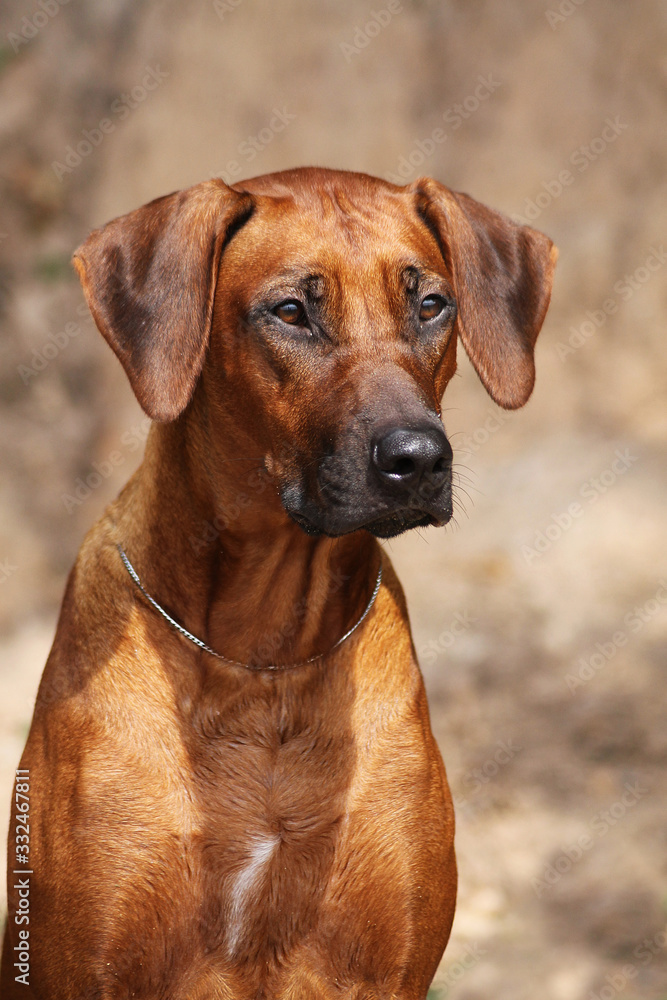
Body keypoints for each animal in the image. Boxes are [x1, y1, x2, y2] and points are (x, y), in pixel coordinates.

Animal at [2, 168, 556, 996]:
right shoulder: (87, 965)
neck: (263, 664)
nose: (419, 458)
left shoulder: (390, 966)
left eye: (430, 305)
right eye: (291, 311)